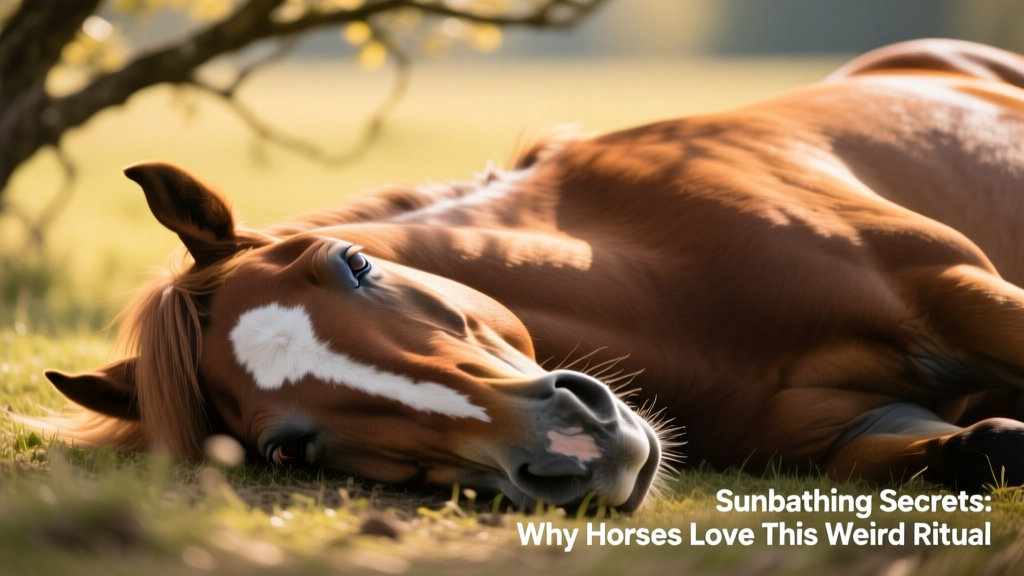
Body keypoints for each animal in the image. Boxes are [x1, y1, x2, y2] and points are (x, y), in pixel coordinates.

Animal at [35, 38, 1024, 511]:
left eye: (352, 263)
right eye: (287, 451)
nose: (569, 451)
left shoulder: (965, 296)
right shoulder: (855, 431)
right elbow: (980, 448)